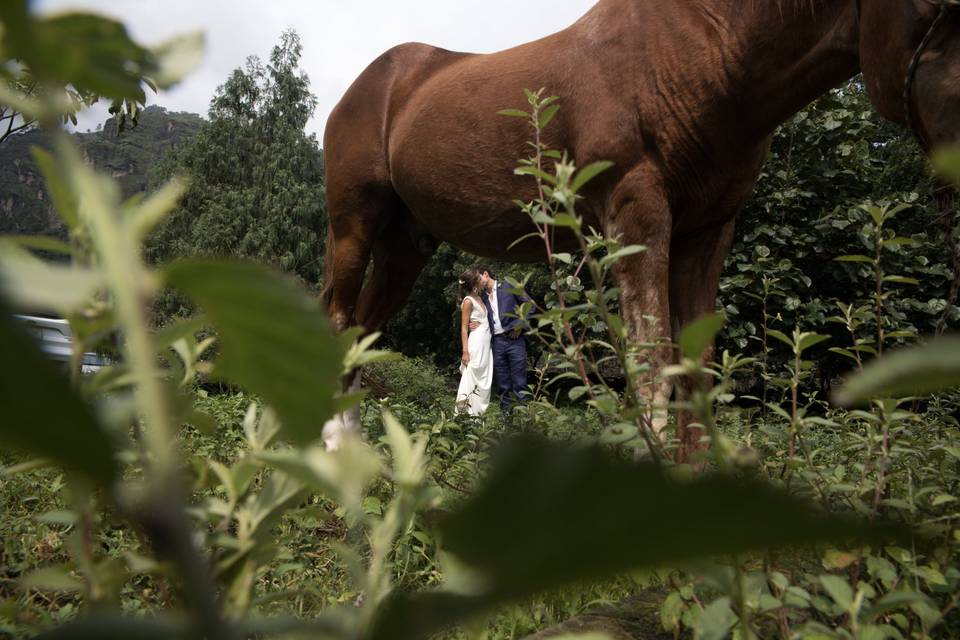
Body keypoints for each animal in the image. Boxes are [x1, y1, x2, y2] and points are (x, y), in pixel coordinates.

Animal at [318, 0, 956, 448]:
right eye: (939, 6)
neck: (706, 52)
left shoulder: (707, 231)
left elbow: (696, 367)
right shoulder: (637, 213)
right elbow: (651, 366)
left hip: (406, 245)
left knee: (361, 334)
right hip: (354, 225)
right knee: (338, 316)